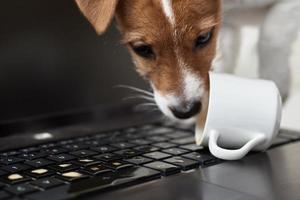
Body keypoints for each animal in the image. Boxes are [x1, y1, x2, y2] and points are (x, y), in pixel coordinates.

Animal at [74, 0, 298, 124]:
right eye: (141, 49)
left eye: (204, 38)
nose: (186, 111)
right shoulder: (226, 24)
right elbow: (222, 60)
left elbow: (270, 36)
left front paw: (276, 81)